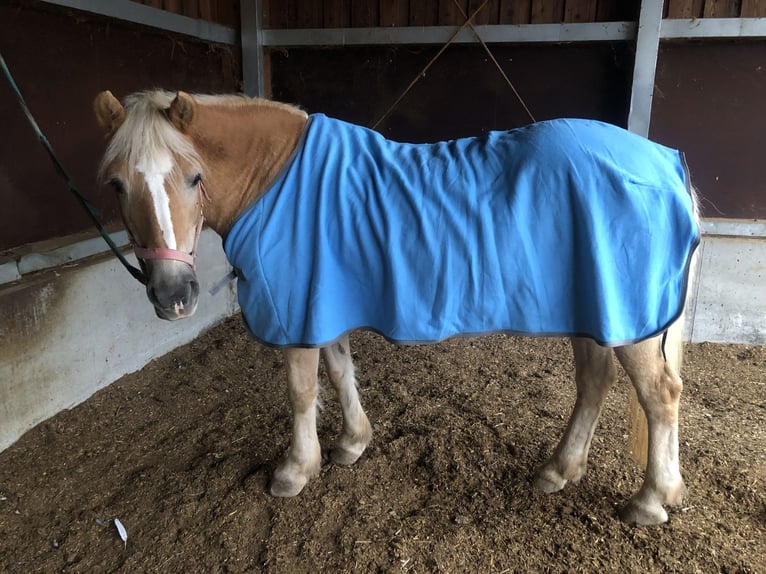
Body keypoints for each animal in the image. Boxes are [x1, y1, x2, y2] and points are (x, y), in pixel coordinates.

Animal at [93, 90, 700, 528]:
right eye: (117, 185)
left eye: (194, 177)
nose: (173, 295)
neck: (278, 180)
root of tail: (667, 164)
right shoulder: (323, 301)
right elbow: (340, 371)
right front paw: (352, 443)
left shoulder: (295, 310)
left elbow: (301, 392)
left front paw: (295, 471)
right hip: (596, 312)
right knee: (594, 381)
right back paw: (558, 470)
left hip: (627, 320)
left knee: (659, 396)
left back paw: (650, 500)